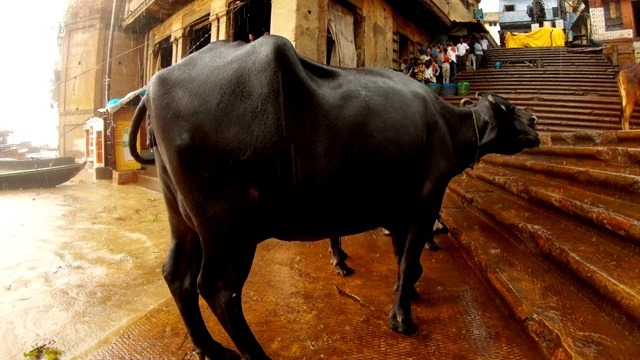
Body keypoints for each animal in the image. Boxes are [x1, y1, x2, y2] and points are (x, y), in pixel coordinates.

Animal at [130, 34, 540, 360]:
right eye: (509, 109)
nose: (536, 123)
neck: (446, 127)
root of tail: (155, 86)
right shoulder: (425, 202)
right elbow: (409, 259)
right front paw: (403, 318)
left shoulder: (397, 210)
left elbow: (402, 258)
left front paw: (406, 291)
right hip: (227, 226)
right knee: (218, 289)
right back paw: (254, 354)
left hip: (182, 214)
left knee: (177, 275)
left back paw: (208, 347)